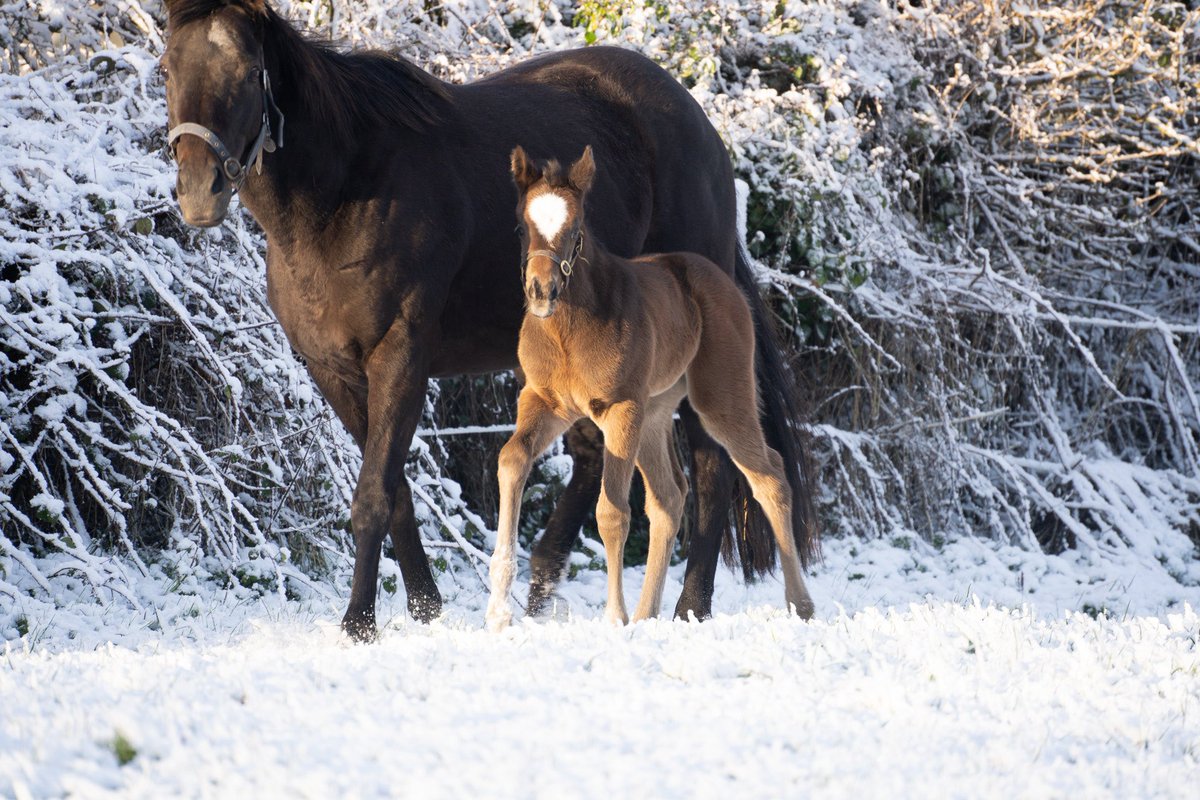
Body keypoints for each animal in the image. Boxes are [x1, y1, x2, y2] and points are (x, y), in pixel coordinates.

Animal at [487, 145, 816, 633]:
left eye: (576, 231)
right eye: (520, 227)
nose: (542, 291)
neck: (567, 332)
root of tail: (722, 279)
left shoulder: (619, 408)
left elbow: (611, 512)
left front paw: (614, 617)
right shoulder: (544, 402)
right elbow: (511, 460)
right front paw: (497, 613)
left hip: (718, 398)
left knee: (770, 476)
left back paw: (801, 605)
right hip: (655, 413)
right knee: (670, 497)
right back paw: (647, 615)